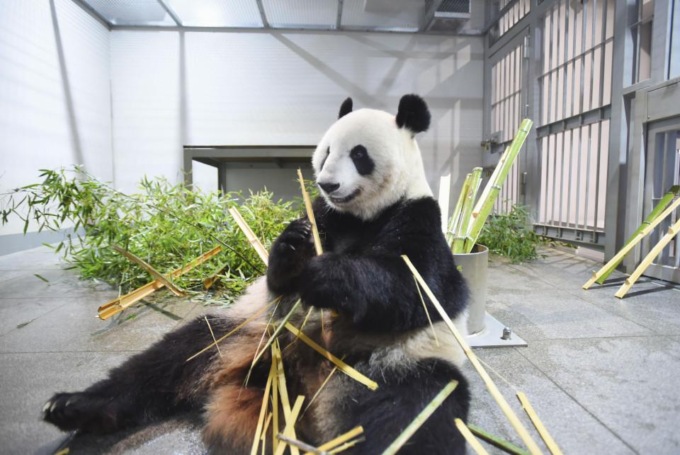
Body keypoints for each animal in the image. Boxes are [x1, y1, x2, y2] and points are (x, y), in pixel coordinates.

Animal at [42, 94, 471, 454]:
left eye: (360, 154)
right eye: (326, 152)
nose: (327, 183)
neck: (359, 217)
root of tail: (294, 383)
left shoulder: (417, 217)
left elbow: (418, 288)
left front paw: (327, 277)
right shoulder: (325, 216)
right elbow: (279, 274)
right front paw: (292, 246)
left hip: (391, 365)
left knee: (412, 416)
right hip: (243, 332)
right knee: (165, 359)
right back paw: (73, 406)